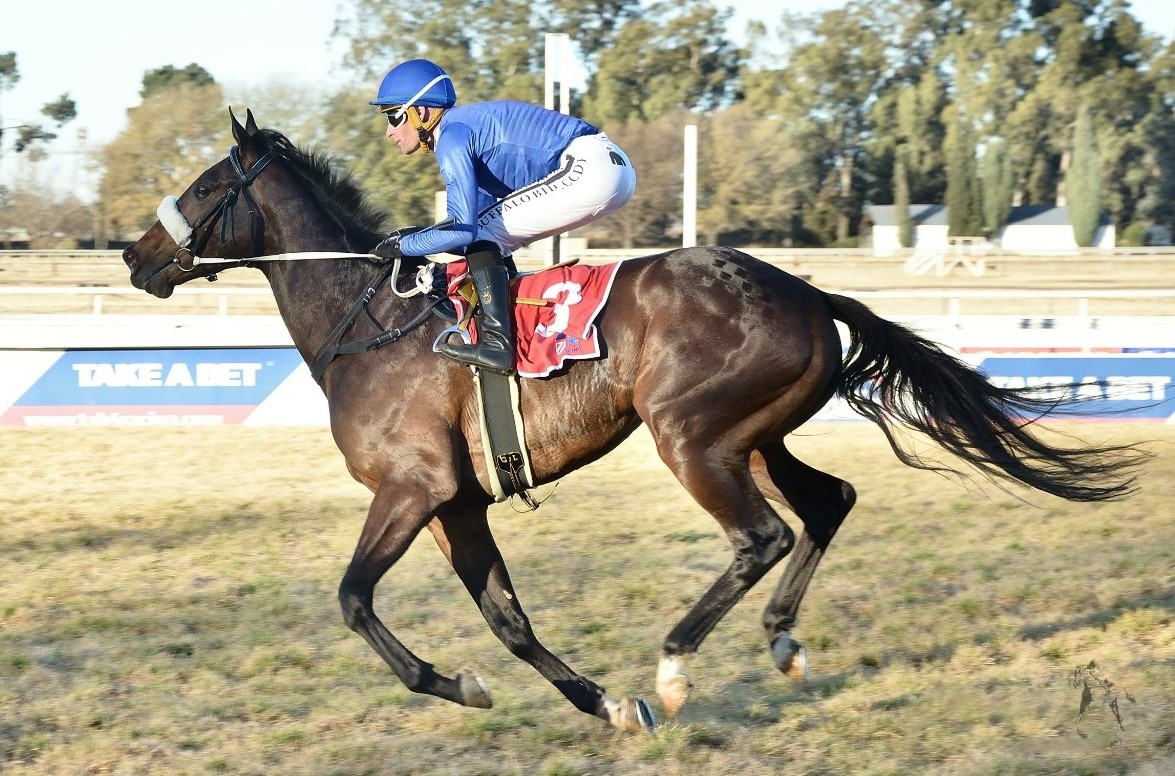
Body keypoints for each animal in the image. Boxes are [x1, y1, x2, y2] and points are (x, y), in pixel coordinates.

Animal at [121, 110, 1137, 733]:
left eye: (205, 185)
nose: (136, 255)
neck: (367, 322)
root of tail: (807, 290)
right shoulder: (458, 504)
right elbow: (508, 619)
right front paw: (603, 705)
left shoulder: (414, 487)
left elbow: (353, 599)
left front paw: (458, 686)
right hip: (754, 436)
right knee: (829, 502)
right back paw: (780, 640)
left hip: (689, 434)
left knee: (762, 535)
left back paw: (677, 667)